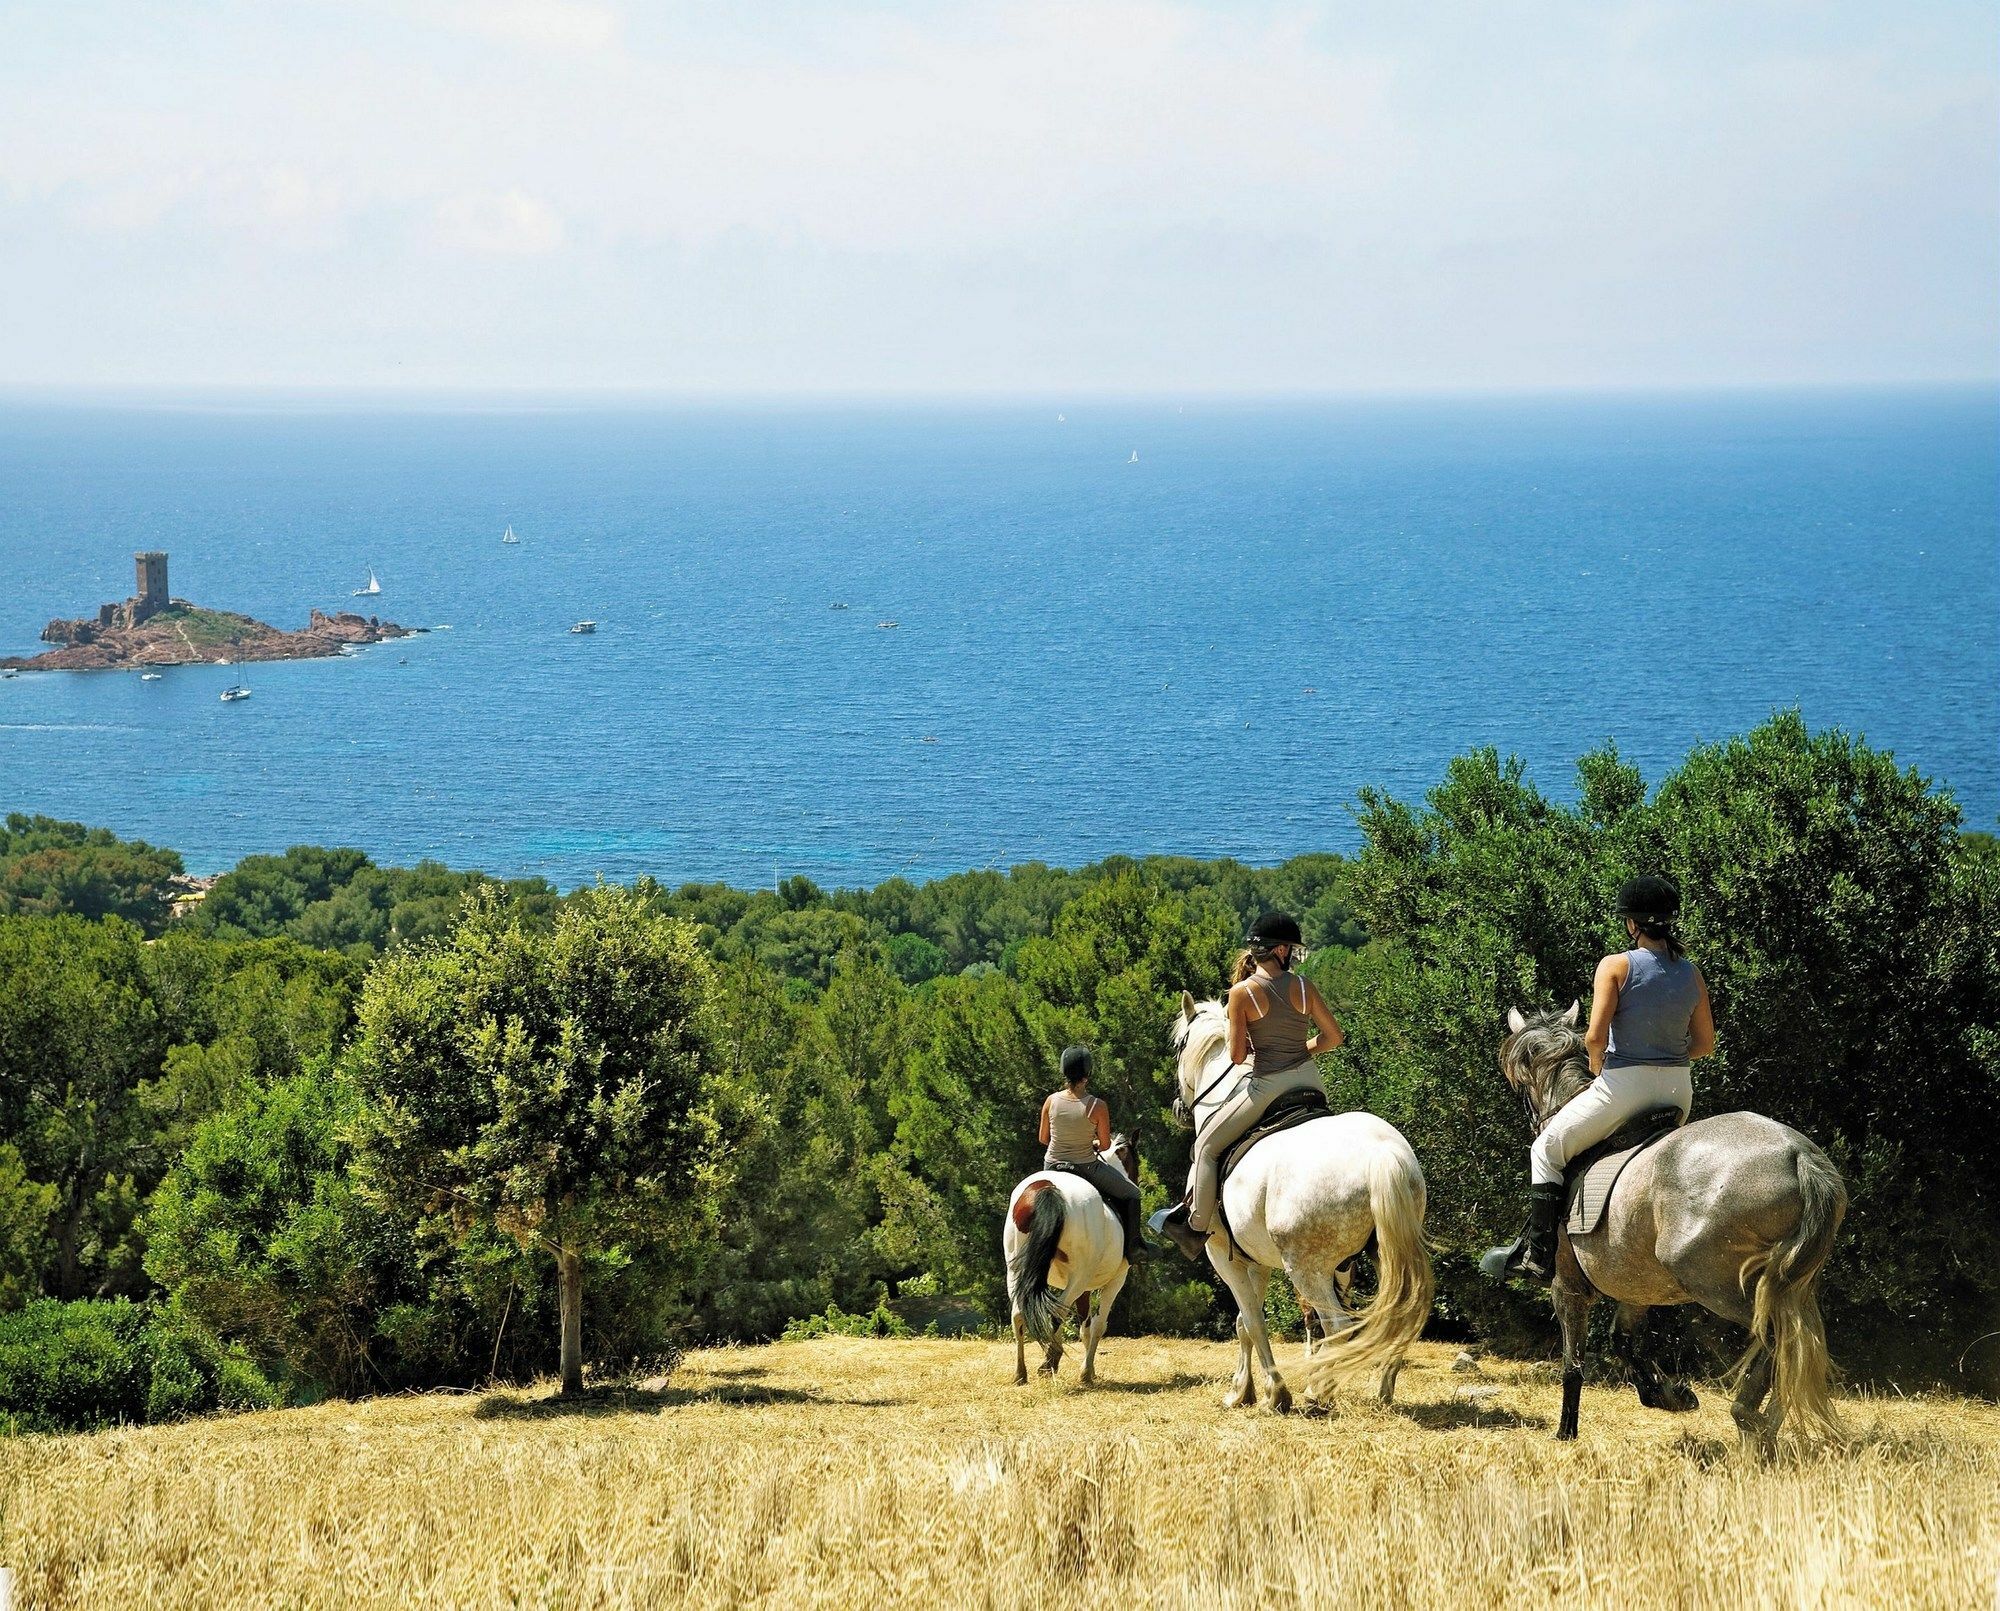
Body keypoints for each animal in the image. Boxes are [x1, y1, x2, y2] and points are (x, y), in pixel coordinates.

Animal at [1000, 1135, 1144, 1391]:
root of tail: (1048, 1188)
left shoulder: (1084, 1289)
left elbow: (1084, 1327)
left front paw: (1089, 1369)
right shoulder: (1116, 1281)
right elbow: (1098, 1325)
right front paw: (1086, 1373)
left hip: (1016, 1271)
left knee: (1019, 1314)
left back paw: (1021, 1372)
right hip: (1078, 1277)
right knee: (1057, 1311)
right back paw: (1049, 1361)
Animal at [1168, 995, 1440, 1415]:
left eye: (1178, 1046)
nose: (1180, 1108)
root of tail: (1382, 1154)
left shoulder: (1224, 1256)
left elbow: (1252, 1320)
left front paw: (1270, 1393)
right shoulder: (1257, 1260)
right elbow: (1244, 1323)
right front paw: (1244, 1390)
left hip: (1306, 1270)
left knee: (1336, 1327)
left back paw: (1319, 1394)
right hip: (1383, 1255)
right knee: (1396, 1316)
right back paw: (1381, 1393)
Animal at [1504, 1007, 1840, 1447]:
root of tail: (1798, 1154)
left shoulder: (1568, 1286)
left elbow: (1573, 1362)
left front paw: (1566, 1432)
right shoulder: (1636, 1286)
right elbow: (1623, 1340)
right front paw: (1668, 1395)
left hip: (1715, 1282)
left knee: (1774, 1336)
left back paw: (1748, 1416)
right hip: (1790, 1282)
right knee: (1796, 1344)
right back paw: (1765, 1427)